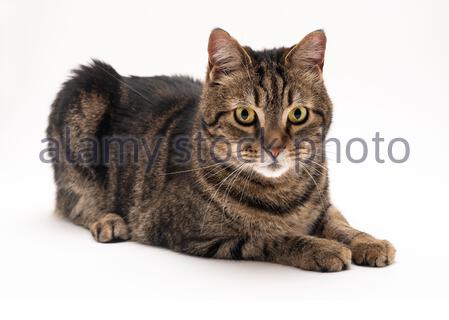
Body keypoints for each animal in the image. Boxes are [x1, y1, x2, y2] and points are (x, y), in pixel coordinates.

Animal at [47, 28, 394, 272]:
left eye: (297, 114)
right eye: (245, 115)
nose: (275, 147)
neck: (282, 191)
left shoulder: (324, 207)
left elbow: (341, 224)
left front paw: (369, 241)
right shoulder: (195, 232)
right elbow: (272, 236)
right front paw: (322, 248)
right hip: (87, 89)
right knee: (72, 201)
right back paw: (107, 219)